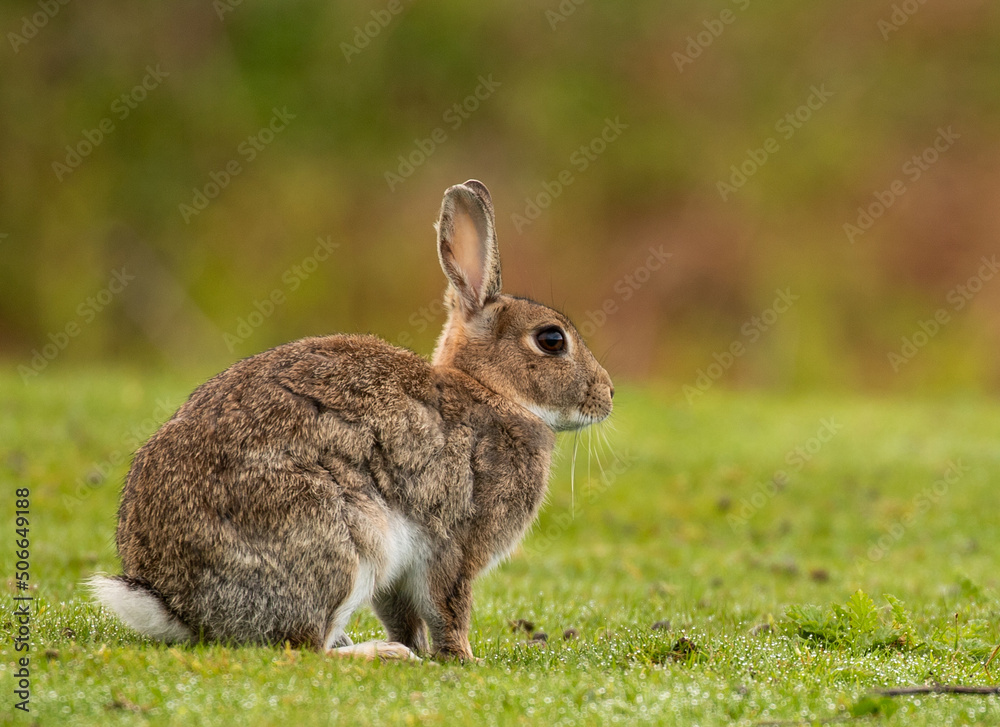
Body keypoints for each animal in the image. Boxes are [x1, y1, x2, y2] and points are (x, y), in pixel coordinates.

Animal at [89, 179, 614, 661]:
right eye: (551, 340)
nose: (608, 395)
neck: (491, 392)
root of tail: (176, 605)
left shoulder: (404, 569)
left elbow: (404, 614)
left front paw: (426, 650)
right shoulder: (454, 543)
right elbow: (448, 609)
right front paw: (462, 659)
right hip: (345, 539)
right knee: (304, 645)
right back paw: (381, 653)